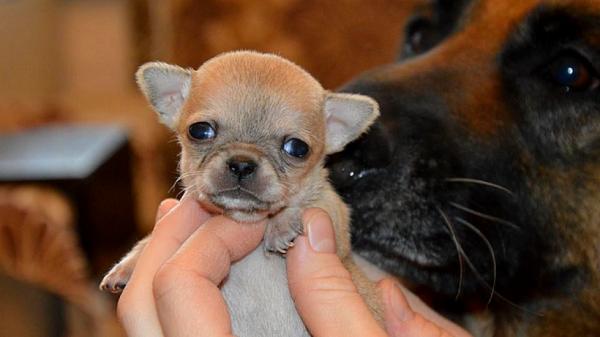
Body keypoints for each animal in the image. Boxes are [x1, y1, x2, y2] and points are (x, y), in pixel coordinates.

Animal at [98, 50, 380, 336]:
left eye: (297, 148)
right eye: (200, 131)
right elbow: (151, 239)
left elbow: (311, 205)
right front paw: (129, 263)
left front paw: (281, 224)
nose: (242, 163)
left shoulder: (335, 217)